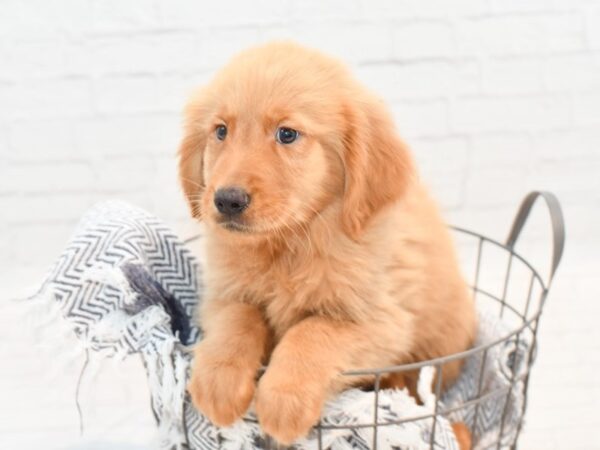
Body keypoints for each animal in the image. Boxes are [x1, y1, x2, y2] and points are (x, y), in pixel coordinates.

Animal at [176, 40, 476, 444]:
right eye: (220, 131)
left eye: (287, 134)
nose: (227, 200)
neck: (290, 245)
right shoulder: (222, 292)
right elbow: (239, 317)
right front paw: (219, 381)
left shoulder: (382, 320)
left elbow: (313, 331)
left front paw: (283, 399)